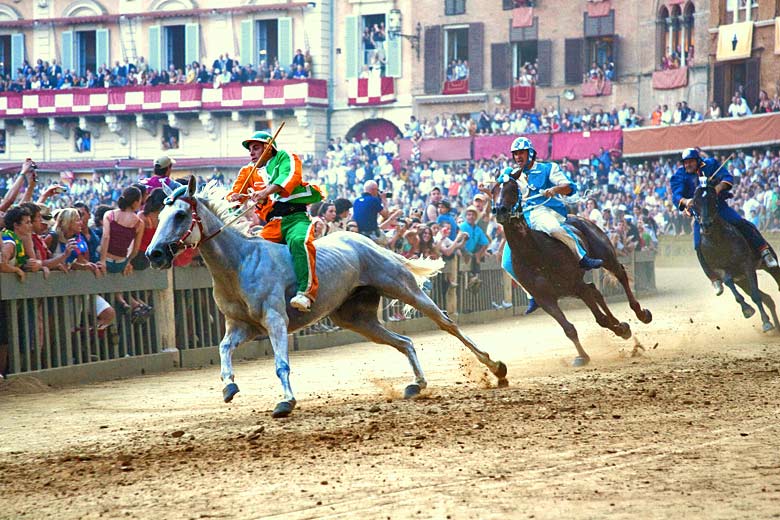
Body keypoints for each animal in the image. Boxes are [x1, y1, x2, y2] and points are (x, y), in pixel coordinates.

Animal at [147, 178, 508, 418]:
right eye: (160, 216)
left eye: (180, 215)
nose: (153, 254)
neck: (240, 262)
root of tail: (368, 242)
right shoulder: (241, 326)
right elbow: (223, 349)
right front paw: (229, 386)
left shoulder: (275, 320)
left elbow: (281, 363)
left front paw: (286, 401)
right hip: (356, 318)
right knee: (404, 342)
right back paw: (416, 384)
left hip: (404, 288)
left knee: (448, 324)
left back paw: (497, 368)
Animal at [494, 177, 652, 368]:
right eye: (493, 190)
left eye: (512, 189)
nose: (499, 210)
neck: (534, 254)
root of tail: (578, 217)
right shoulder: (545, 300)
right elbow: (568, 329)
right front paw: (582, 356)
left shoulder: (577, 286)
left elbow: (600, 319)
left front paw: (621, 329)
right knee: (595, 289)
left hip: (604, 256)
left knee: (619, 274)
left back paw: (641, 313)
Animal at [696, 179, 780, 334]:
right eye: (695, 202)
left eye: (713, 199)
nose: (705, 224)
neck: (719, 241)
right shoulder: (721, 270)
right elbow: (729, 281)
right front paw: (747, 310)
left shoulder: (746, 265)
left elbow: (756, 295)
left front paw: (766, 322)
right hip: (742, 281)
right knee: (768, 299)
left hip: (768, 264)